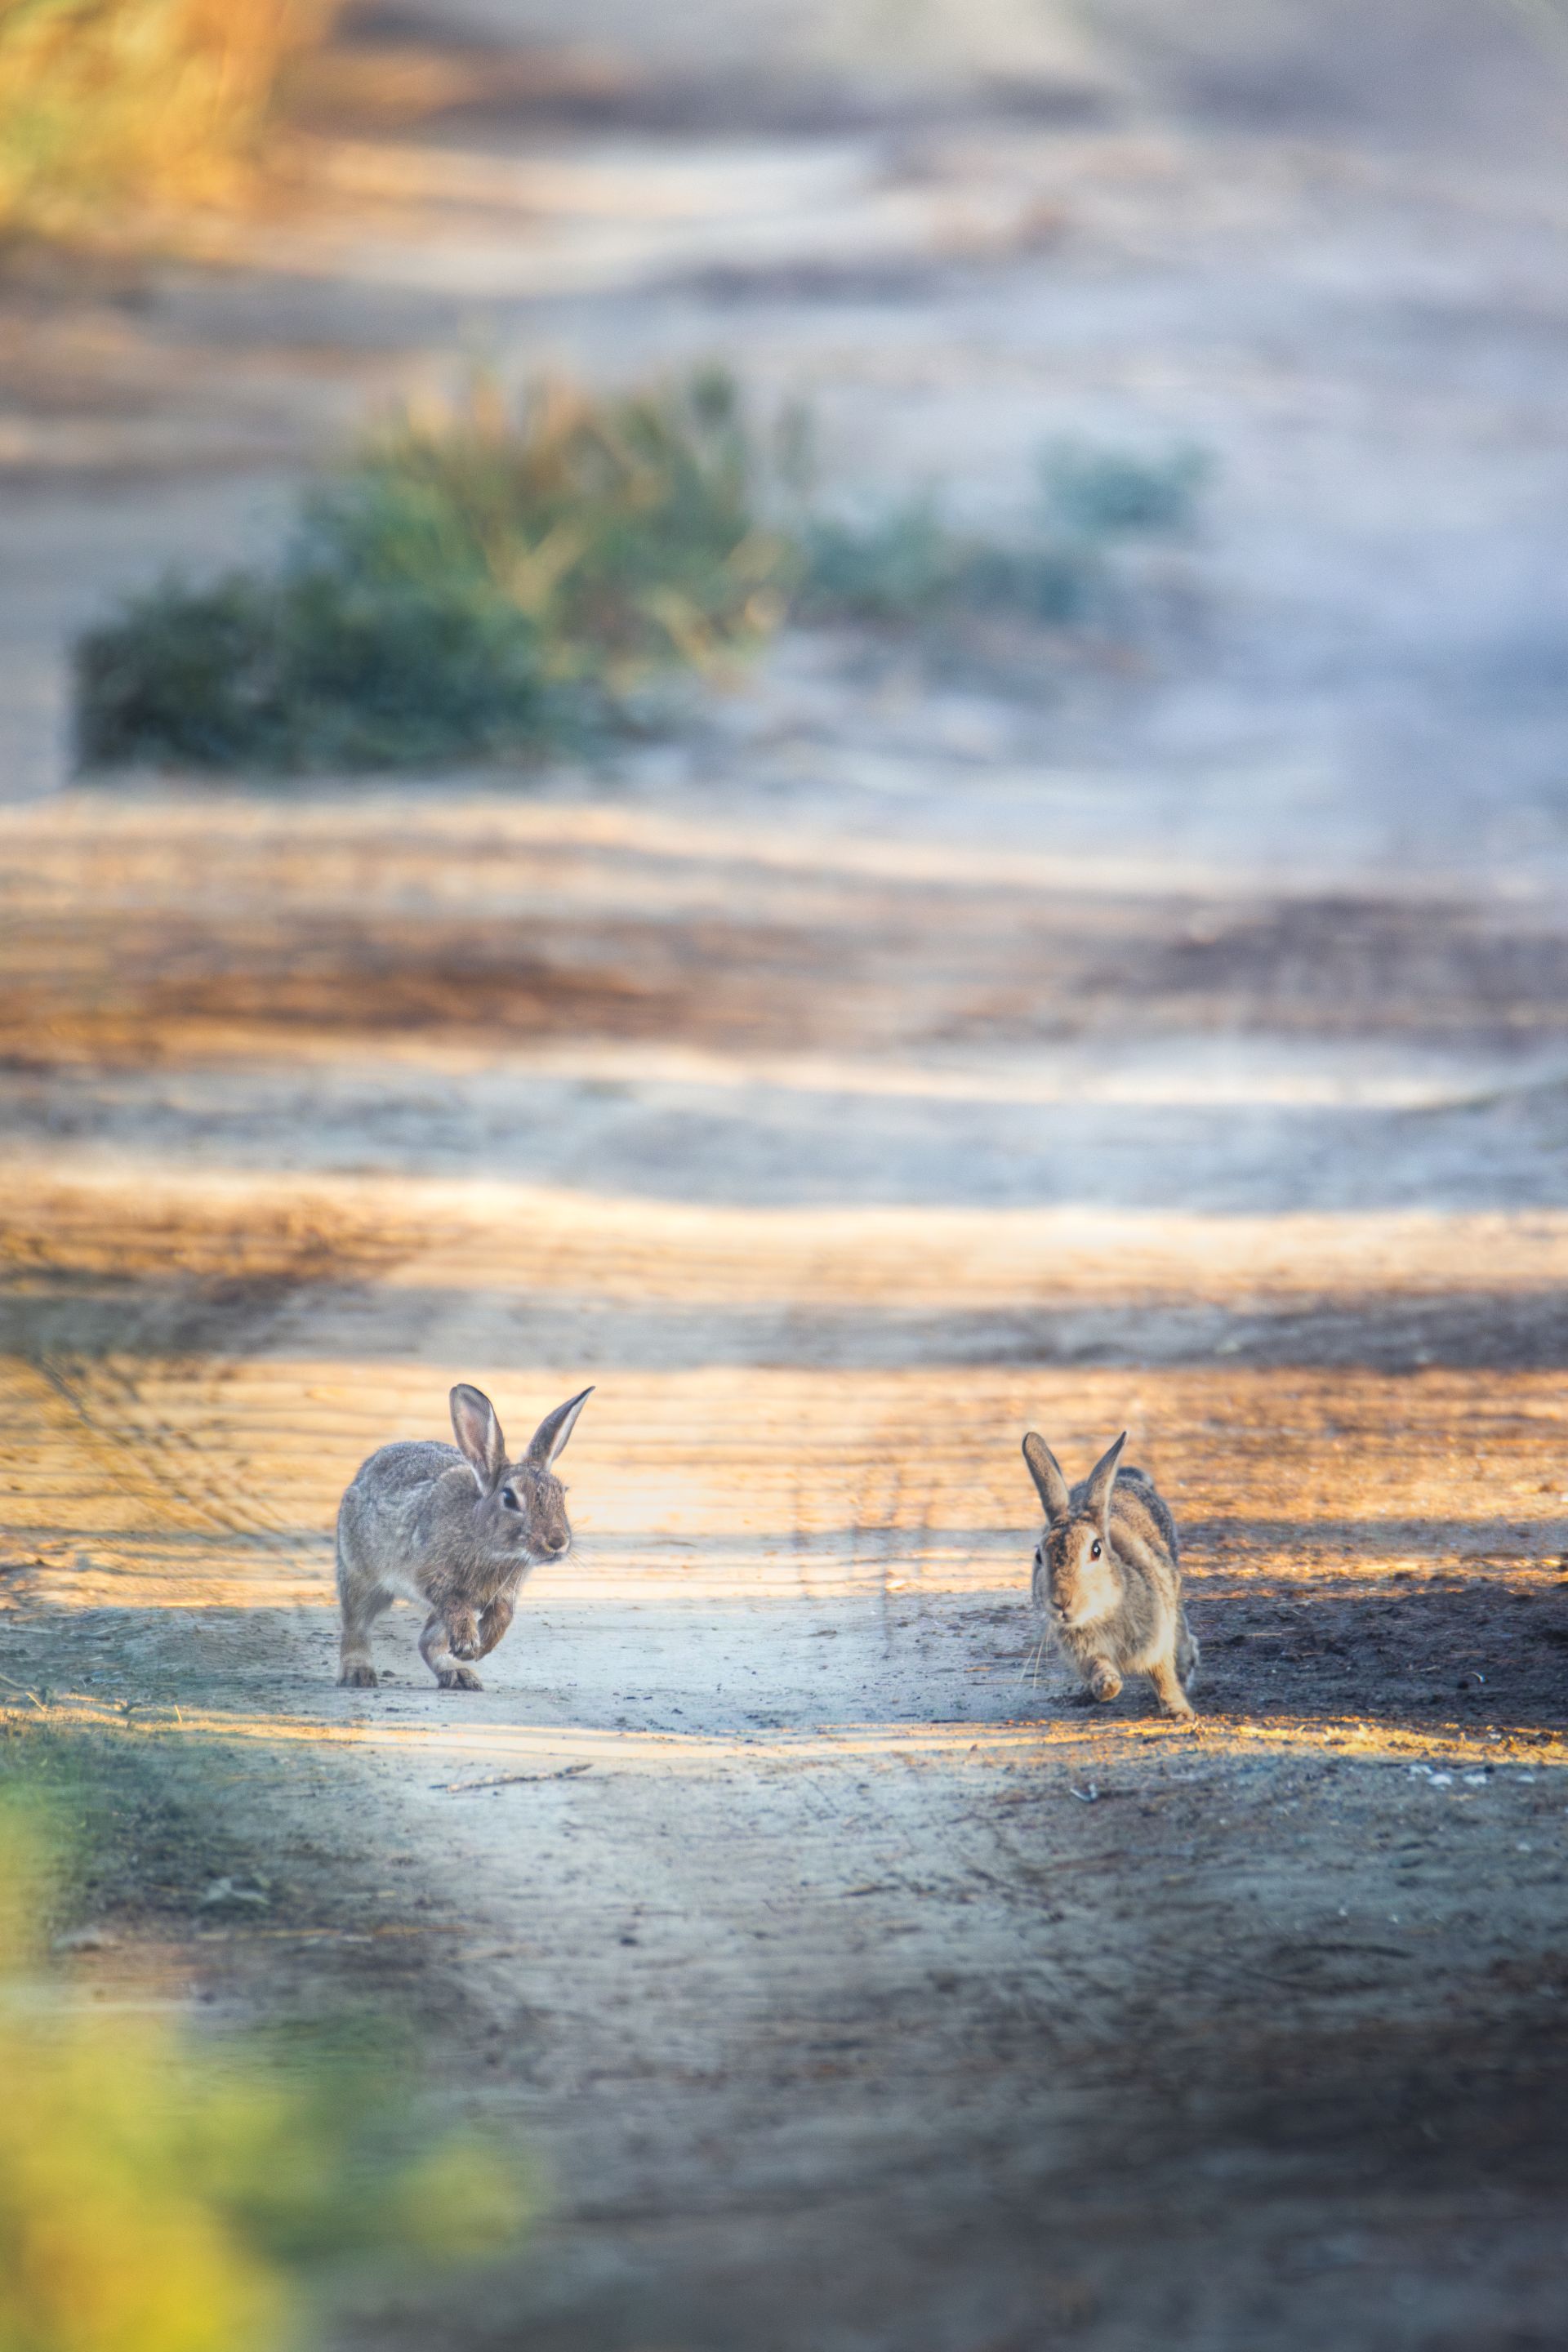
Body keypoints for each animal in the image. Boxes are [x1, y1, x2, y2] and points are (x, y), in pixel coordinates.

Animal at [336, 1383, 592, 1692]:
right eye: (509, 1498)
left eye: (562, 1494)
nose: (557, 1542)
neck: (486, 1540)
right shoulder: (434, 1578)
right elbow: (455, 1603)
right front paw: (471, 1644)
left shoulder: (504, 1592)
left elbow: (504, 1615)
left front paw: (482, 1647)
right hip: (359, 1573)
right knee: (357, 1624)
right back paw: (358, 1675)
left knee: (428, 1642)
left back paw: (459, 1673)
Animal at [1021, 1428, 1199, 1720]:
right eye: (1038, 1556)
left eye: (1096, 1550)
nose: (1061, 1602)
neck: (1101, 1612)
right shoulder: (1086, 1655)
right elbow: (1098, 1667)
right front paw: (1107, 1687)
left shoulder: (1156, 1639)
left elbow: (1163, 1676)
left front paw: (1180, 1712)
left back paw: (1187, 1664)